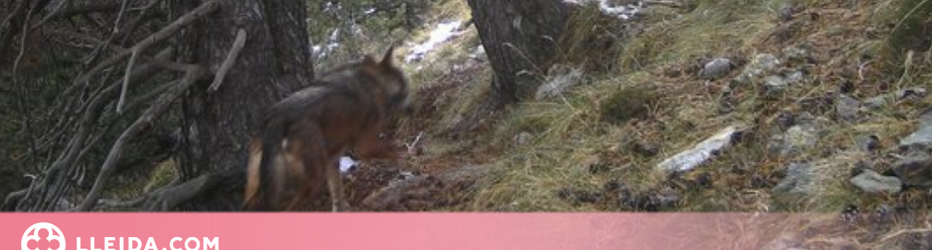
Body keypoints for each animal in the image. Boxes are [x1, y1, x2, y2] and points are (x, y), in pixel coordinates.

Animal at [244, 47, 412, 211]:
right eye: (405, 87)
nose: (413, 108)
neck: (374, 83)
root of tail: (277, 117)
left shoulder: (333, 160)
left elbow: (338, 197)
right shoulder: (364, 148)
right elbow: (393, 150)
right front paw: (406, 158)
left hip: (258, 187)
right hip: (309, 182)